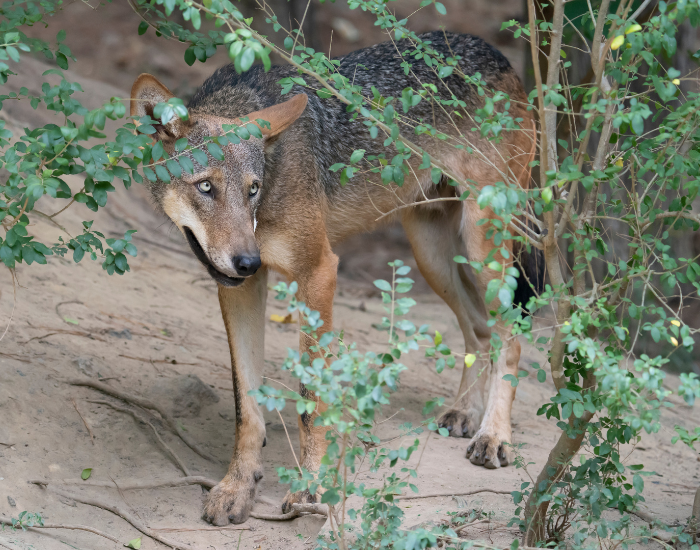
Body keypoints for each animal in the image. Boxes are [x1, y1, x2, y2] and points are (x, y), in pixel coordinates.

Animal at [131, 30, 538, 525]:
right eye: (205, 187)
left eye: (252, 189)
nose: (247, 261)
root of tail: (498, 55)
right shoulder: (242, 289)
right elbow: (246, 405)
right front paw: (237, 487)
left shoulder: (319, 272)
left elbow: (311, 403)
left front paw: (310, 490)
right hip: (432, 257)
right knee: (479, 329)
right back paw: (464, 412)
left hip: (483, 249)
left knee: (511, 335)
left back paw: (494, 436)